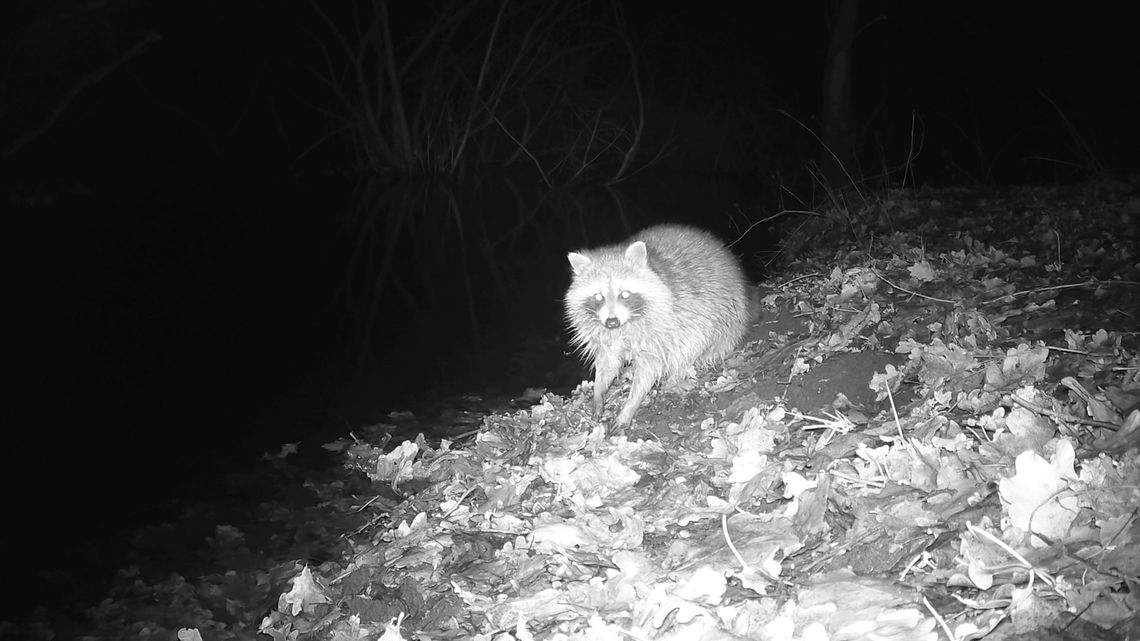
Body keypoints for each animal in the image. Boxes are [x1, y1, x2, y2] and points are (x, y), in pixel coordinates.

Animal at [565, 222, 752, 426]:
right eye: (598, 297)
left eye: (625, 294)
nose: (612, 322)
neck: (626, 324)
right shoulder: (605, 333)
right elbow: (608, 360)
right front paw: (599, 391)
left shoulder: (662, 329)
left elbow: (650, 366)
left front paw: (631, 404)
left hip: (723, 313)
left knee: (694, 342)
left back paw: (679, 373)